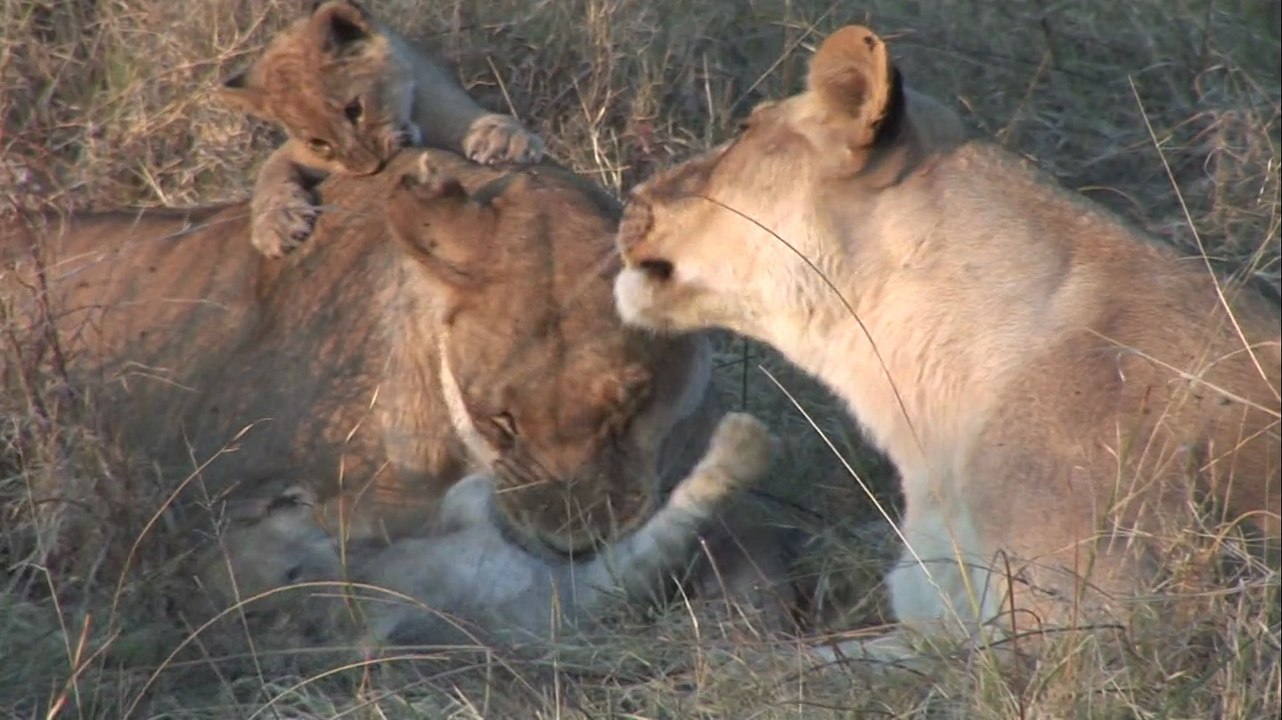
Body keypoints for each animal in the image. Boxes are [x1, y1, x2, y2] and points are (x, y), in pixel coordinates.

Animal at [191, 412, 774, 649]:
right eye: (286, 572)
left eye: (278, 509)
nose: (292, 495)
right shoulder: (565, 603)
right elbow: (666, 528)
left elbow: (468, 491)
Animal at [218, 0, 544, 258]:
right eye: (318, 142)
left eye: (355, 110)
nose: (372, 169)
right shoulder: (299, 154)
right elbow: (270, 173)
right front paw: (276, 227)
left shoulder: (448, 108)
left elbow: (476, 120)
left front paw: (502, 139)